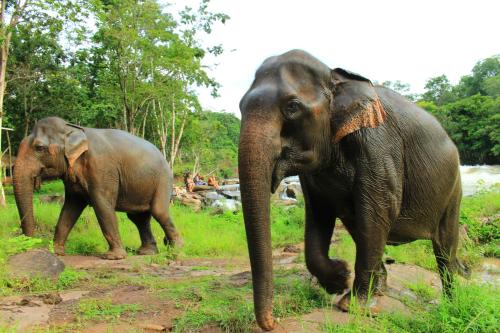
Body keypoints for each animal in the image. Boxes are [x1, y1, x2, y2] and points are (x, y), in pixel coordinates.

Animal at [12, 116, 182, 260]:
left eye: (39, 148)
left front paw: (113, 257)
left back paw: (176, 250)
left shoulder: (102, 168)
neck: (71, 128)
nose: (32, 247)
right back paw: (147, 252)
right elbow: (70, 208)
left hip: (163, 179)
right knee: (138, 218)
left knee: (158, 211)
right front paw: (56, 252)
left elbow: (102, 205)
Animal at [238, 50, 468, 330]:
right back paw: (380, 289)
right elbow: (319, 214)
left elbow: (379, 211)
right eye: (240, 106)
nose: (274, 322)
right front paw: (339, 278)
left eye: (292, 107)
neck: (335, 76)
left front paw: (353, 305)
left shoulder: (377, 144)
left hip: (453, 190)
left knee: (444, 248)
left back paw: (450, 302)